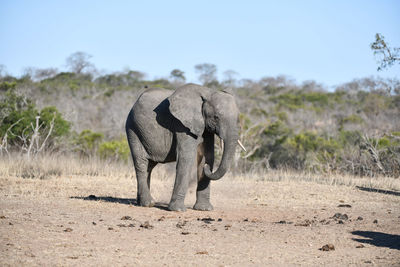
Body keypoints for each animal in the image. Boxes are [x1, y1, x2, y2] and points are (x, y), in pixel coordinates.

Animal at [126, 83, 244, 211]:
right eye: (216, 117)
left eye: (238, 119)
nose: (207, 168)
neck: (208, 92)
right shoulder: (182, 125)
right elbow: (186, 157)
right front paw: (178, 210)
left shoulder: (204, 126)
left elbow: (208, 156)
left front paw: (204, 209)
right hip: (133, 129)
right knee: (141, 162)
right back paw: (148, 203)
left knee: (149, 166)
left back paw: (140, 202)